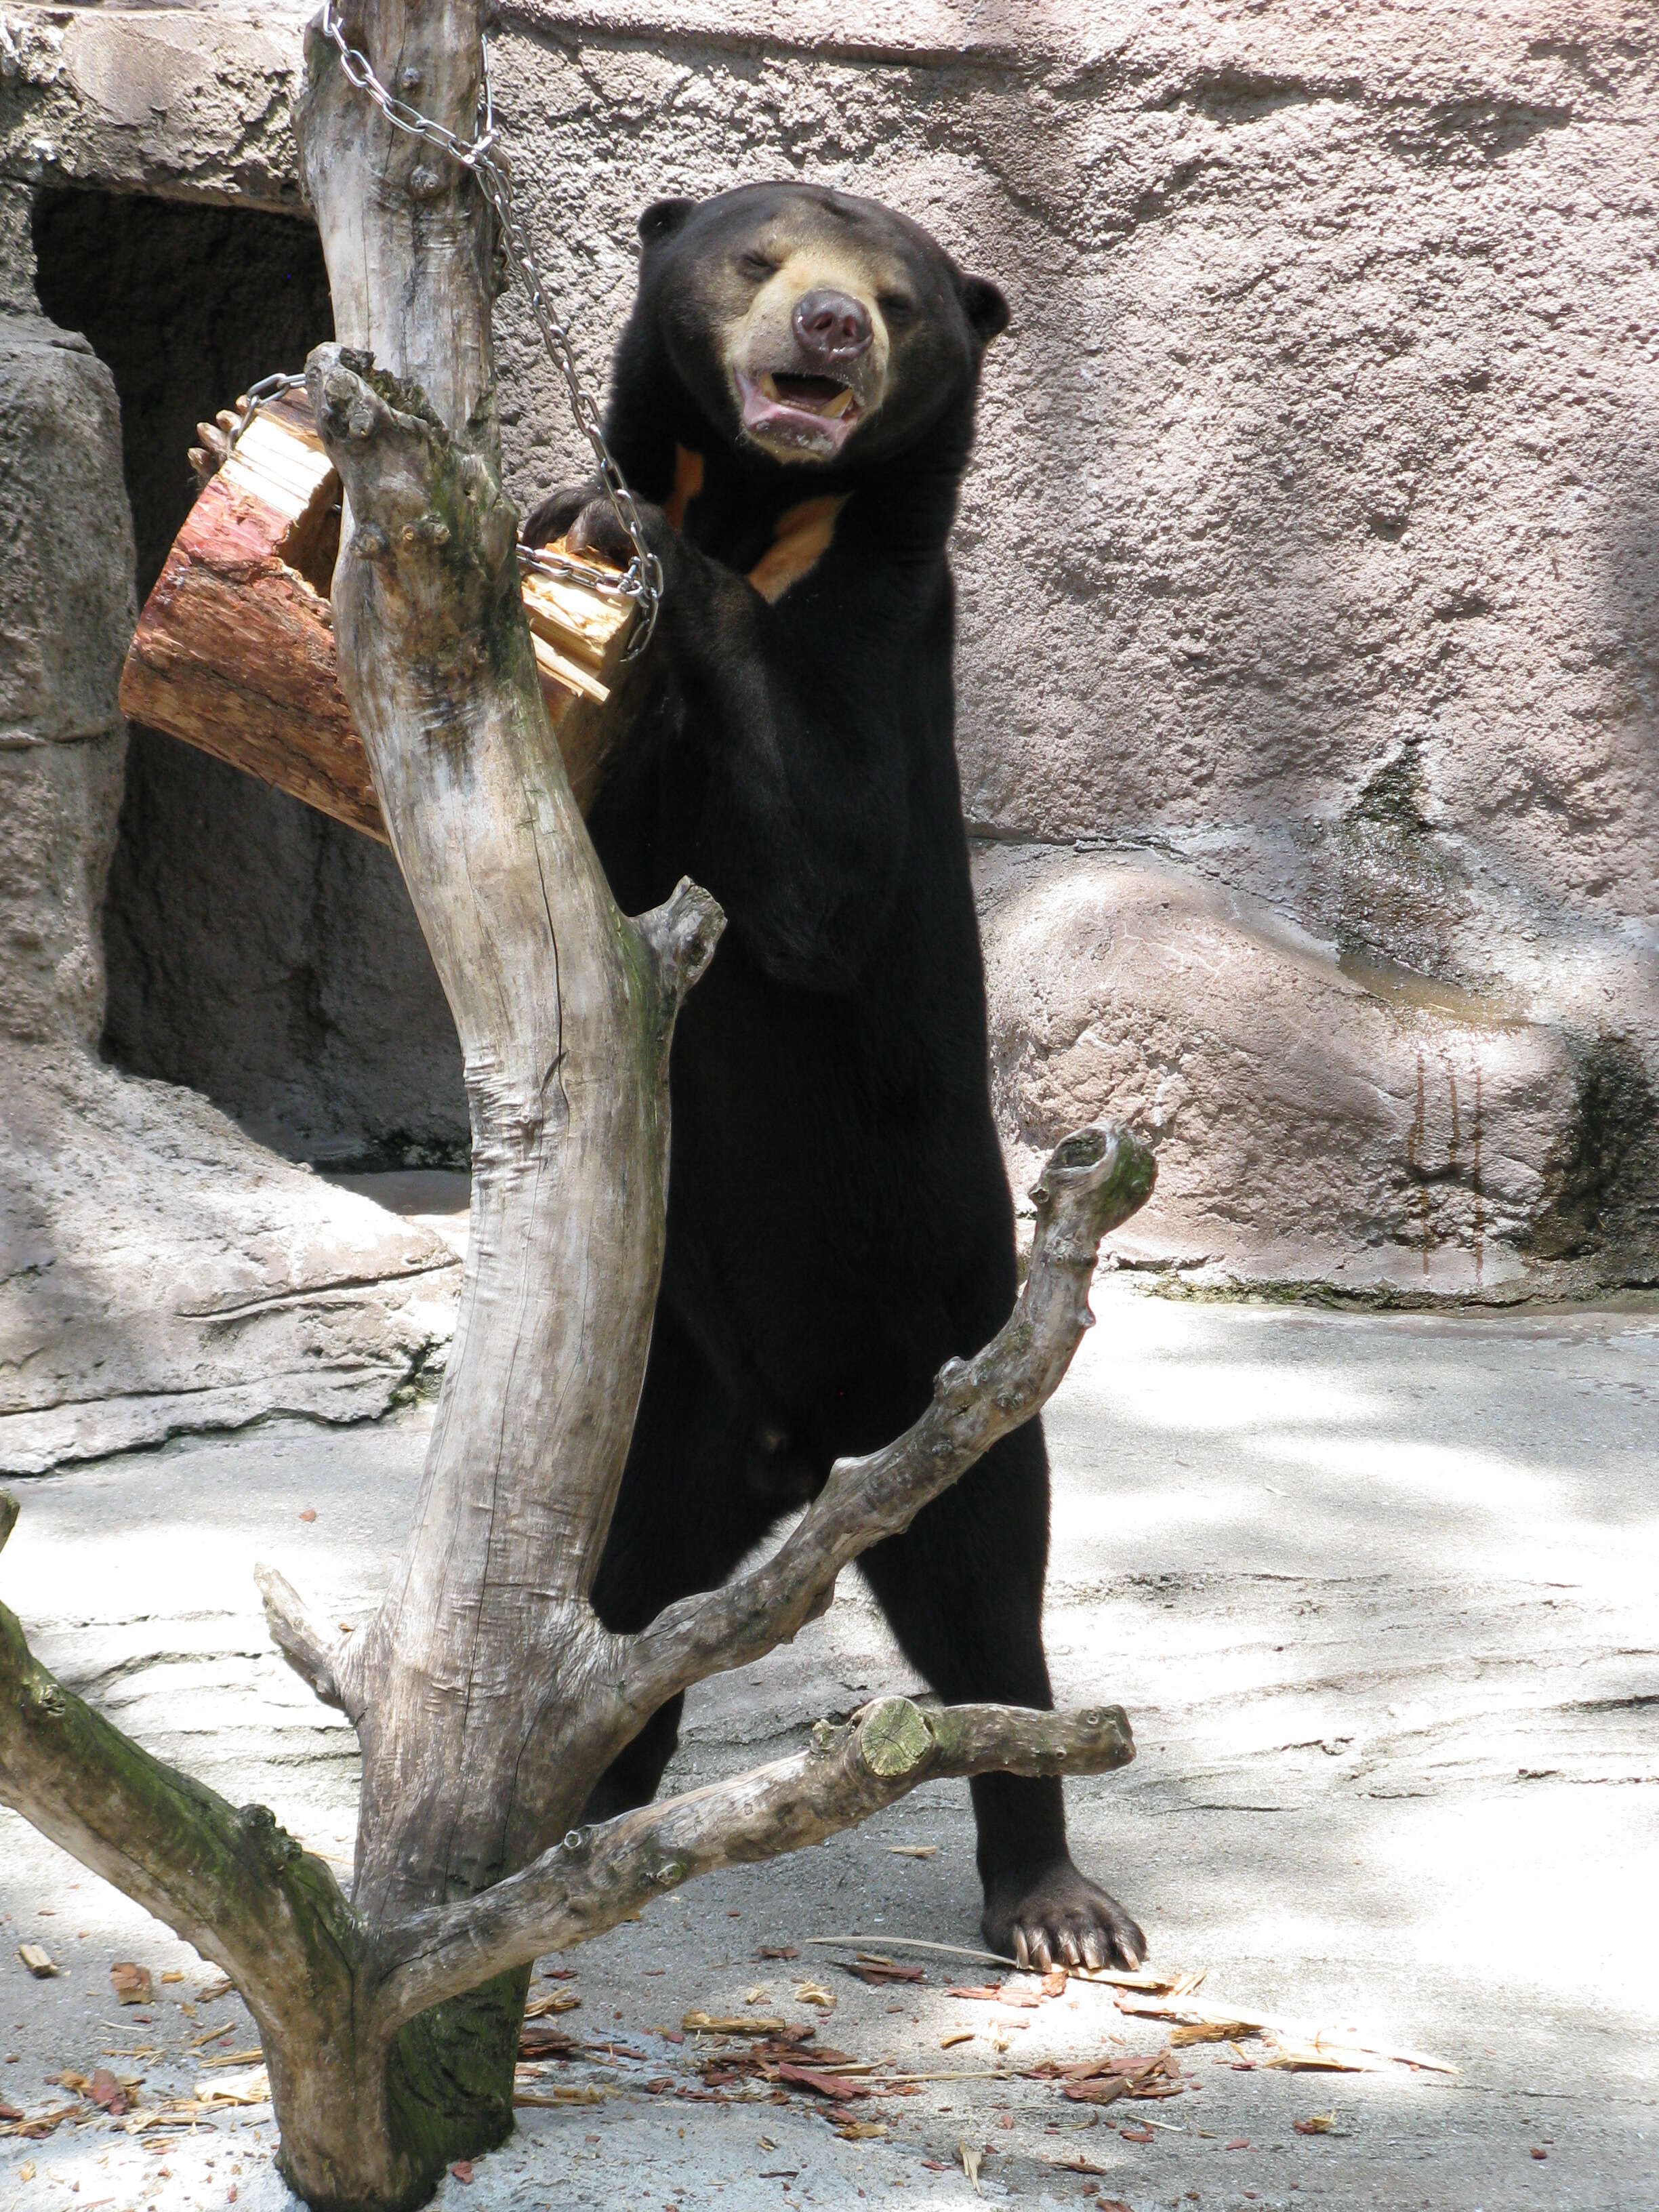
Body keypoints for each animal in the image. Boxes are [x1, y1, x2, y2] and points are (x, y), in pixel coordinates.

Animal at [526, 177, 1150, 1973]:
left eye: (899, 298)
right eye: (759, 256)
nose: (825, 331)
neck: (758, 503)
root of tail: (793, 1448)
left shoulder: (883, 632)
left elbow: (816, 881)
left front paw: (624, 534)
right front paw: (562, 514)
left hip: (939, 1364)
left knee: (986, 1608)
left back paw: (1054, 1901)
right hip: (668, 1407)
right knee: (626, 1608)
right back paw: (581, 1816)